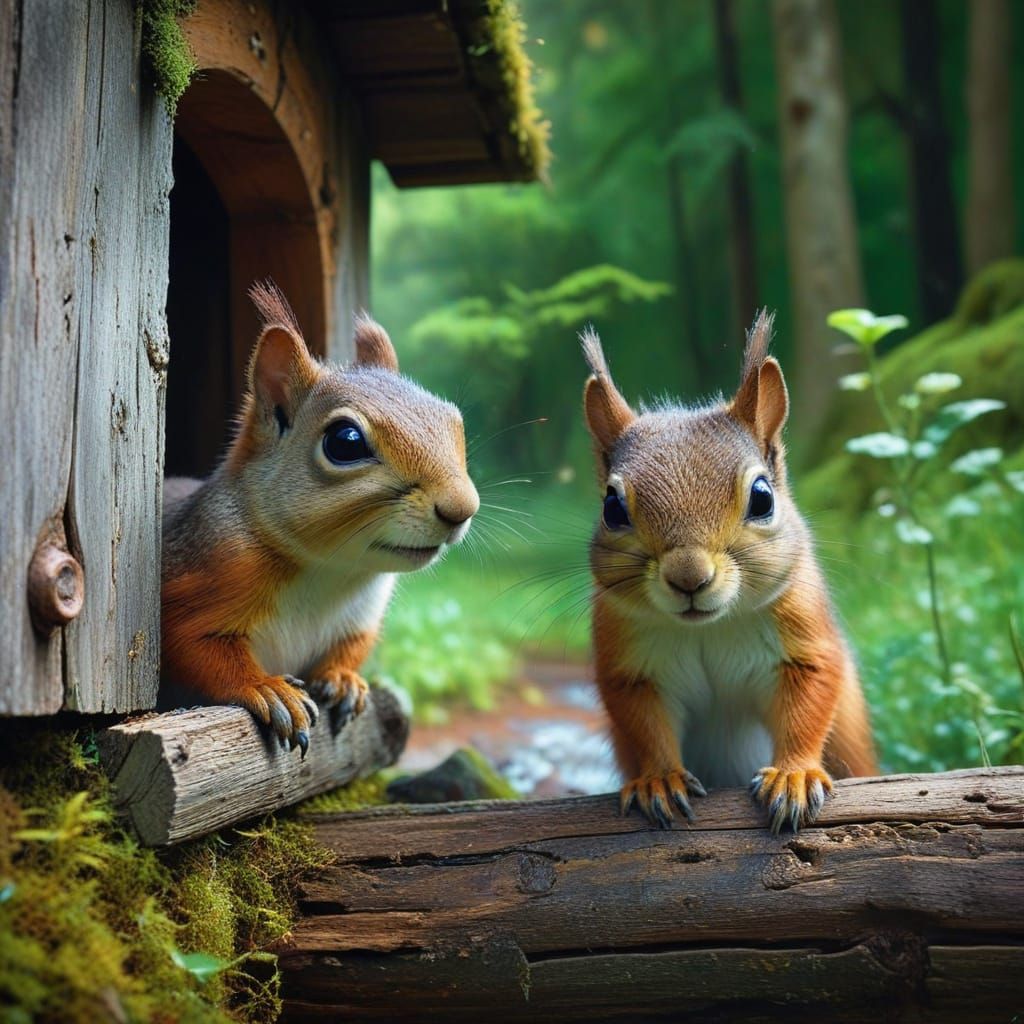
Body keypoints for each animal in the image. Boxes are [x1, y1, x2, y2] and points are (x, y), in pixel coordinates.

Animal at [161, 283, 479, 754]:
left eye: (453, 420)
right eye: (345, 442)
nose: (462, 508)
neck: (329, 571)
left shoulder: (359, 619)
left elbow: (351, 650)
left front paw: (343, 679)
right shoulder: (197, 581)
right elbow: (196, 650)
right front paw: (266, 688)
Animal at [580, 310, 876, 832]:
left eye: (762, 498)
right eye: (612, 508)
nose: (689, 577)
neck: (709, 628)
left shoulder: (803, 637)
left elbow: (809, 702)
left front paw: (794, 775)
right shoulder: (630, 664)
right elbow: (644, 725)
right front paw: (660, 779)